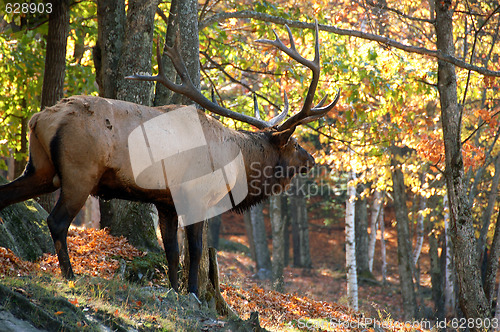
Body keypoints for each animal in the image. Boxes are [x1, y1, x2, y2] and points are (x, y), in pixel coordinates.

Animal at [0, 22, 340, 294]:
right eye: (294, 143)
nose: (311, 160)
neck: (236, 166)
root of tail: (40, 119)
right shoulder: (196, 195)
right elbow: (194, 250)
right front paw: (192, 293)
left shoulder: (165, 201)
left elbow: (172, 250)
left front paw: (174, 290)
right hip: (79, 171)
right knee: (56, 220)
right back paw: (70, 276)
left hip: (40, 168)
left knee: (7, 195)